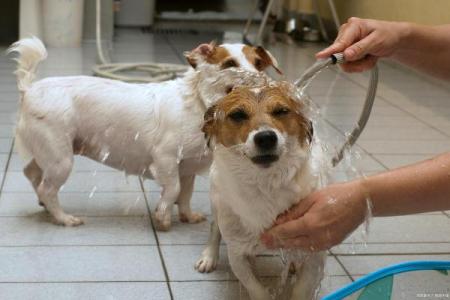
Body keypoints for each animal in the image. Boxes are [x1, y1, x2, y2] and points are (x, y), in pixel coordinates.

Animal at [7, 38, 282, 230]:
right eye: (229, 64)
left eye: (259, 64)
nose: (261, 79)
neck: (199, 105)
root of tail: (29, 89)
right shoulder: (166, 159)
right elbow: (172, 190)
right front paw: (163, 218)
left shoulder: (188, 168)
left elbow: (185, 194)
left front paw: (187, 215)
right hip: (60, 159)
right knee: (47, 189)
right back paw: (62, 217)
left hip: (48, 154)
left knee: (33, 175)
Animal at [195, 82, 326, 300]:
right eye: (238, 115)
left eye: (281, 111)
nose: (266, 137)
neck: (266, 185)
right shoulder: (237, 253)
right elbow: (255, 287)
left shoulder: (315, 252)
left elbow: (302, 289)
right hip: (217, 201)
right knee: (215, 228)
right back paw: (209, 256)